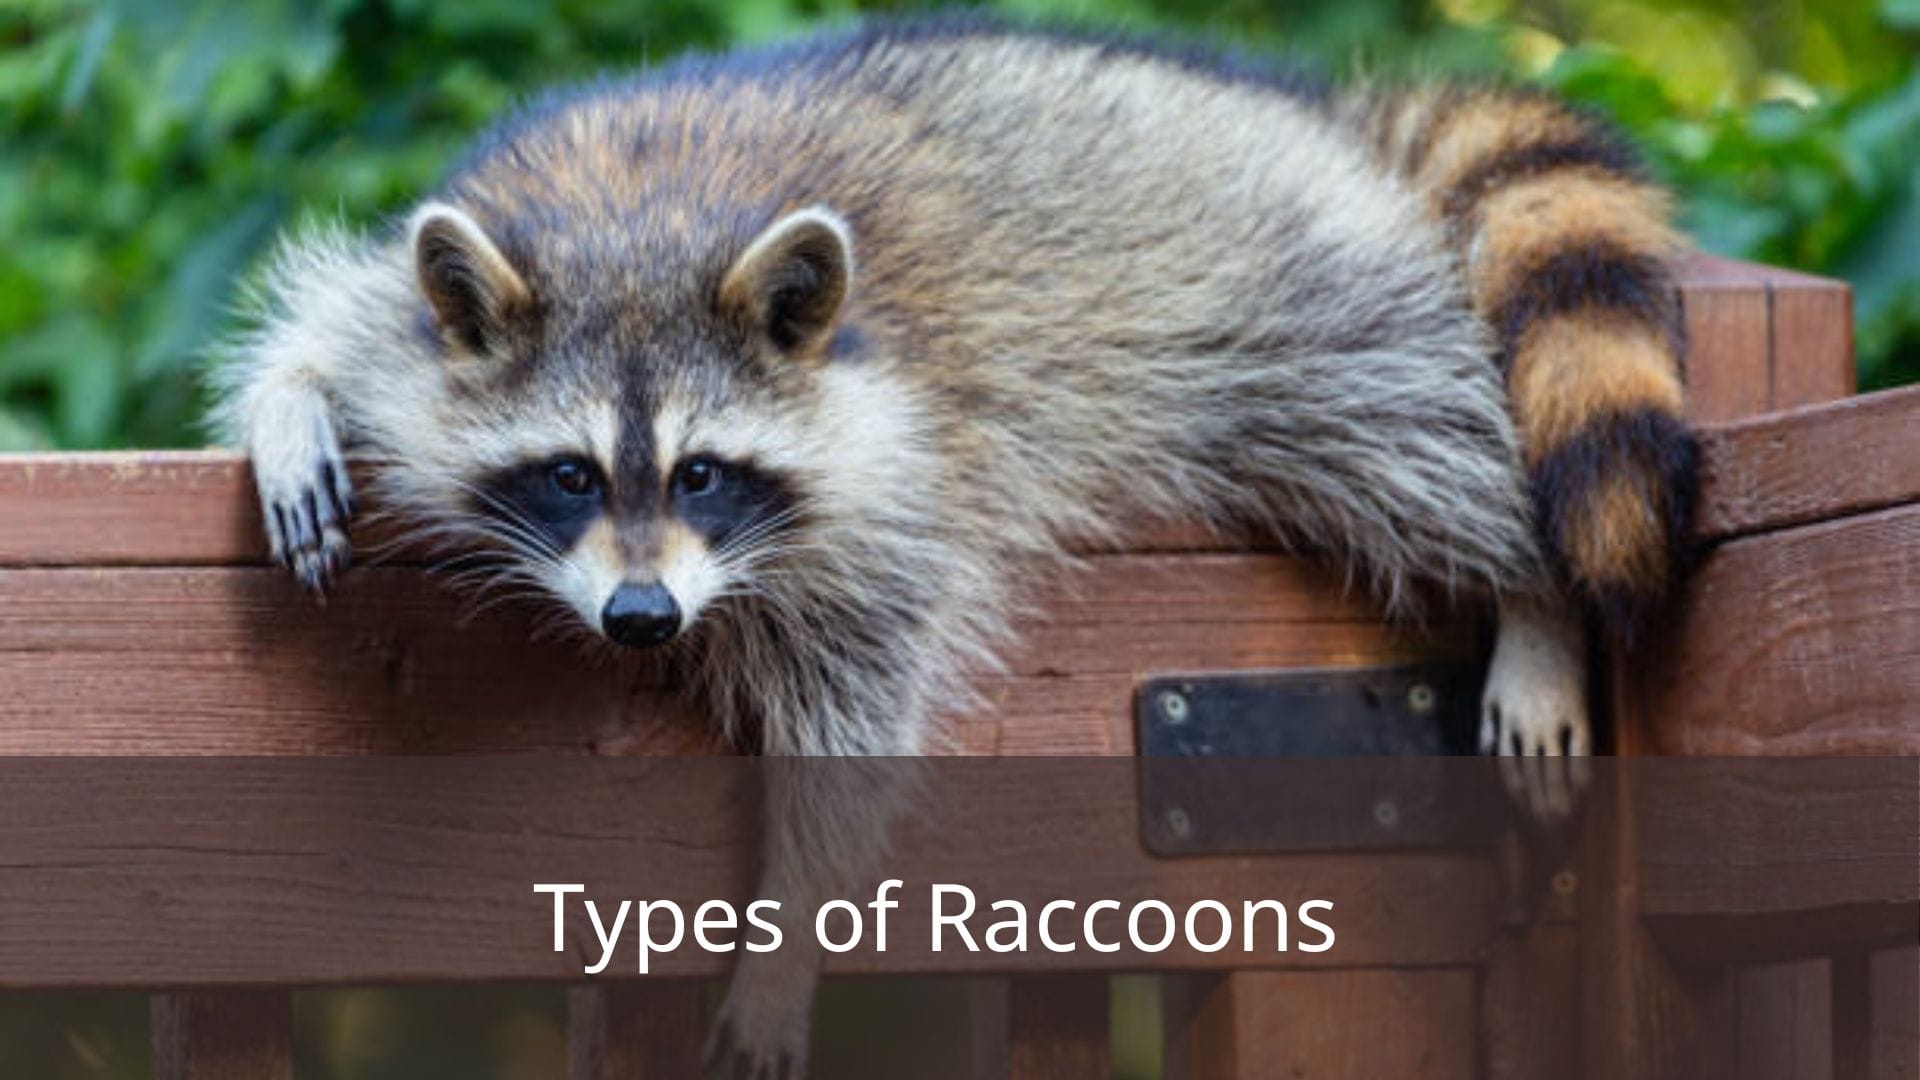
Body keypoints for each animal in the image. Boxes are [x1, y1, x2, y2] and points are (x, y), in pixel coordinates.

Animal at [212, 17, 1694, 1076]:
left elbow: (857, 718)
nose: (640, 620)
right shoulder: (433, 299)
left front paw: (791, 919)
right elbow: (336, 322)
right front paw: (293, 402)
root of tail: (1312, 118)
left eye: (702, 472)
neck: (641, 230)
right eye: (570, 474)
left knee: (1413, 439)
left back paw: (1533, 593)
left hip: (1285, 292)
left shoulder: (899, 477)